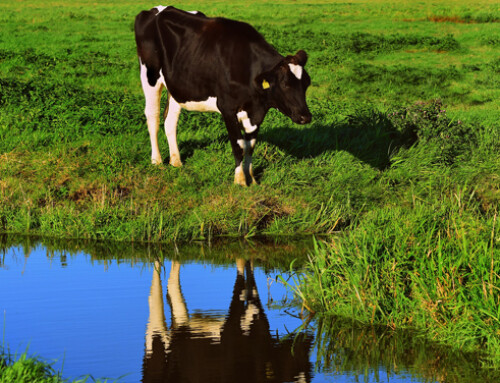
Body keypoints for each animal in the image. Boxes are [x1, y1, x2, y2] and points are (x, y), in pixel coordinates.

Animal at [135, 5, 310, 186]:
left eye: (307, 83)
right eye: (285, 84)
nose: (306, 117)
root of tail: (157, 9)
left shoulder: (256, 112)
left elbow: (250, 146)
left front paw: (252, 179)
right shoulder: (227, 108)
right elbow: (238, 145)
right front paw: (240, 181)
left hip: (177, 86)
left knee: (170, 120)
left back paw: (176, 161)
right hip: (150, 76)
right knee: (153, 116)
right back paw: (156, 161)